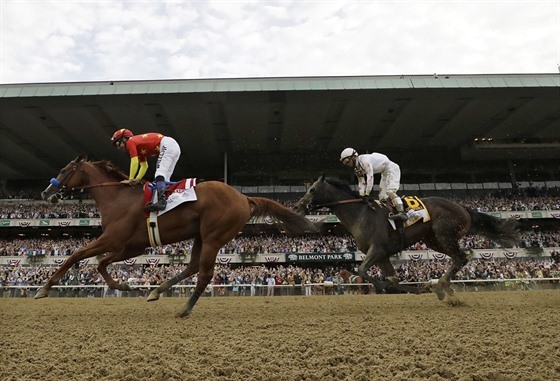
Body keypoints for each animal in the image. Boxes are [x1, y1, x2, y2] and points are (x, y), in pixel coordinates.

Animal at [38, 155, 320, 318]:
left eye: (63, 170)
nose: (45, 193)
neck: (117, 198)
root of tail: (243, 197)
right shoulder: (131, 247)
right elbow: (101, 263)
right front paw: (123, 286)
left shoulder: (113, 240)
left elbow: (76, 255)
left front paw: (44, 288)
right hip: (200, 235)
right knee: (193, 266)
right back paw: (156, 291)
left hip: (214, 236)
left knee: (204, 274)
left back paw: (184, 309)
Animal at [296, 176, 520, 300]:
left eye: (312, 189)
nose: (298, 206)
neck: (360, 214)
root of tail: (462, 207)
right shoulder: (382, 255)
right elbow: (391, 279)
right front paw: (413, 288)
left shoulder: (377, 250)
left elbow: (363, 270)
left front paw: (388, 287)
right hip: (433, 240)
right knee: (460, 258)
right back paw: (442, 287)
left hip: (444, 234)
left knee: (461, 257)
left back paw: (440, 285)